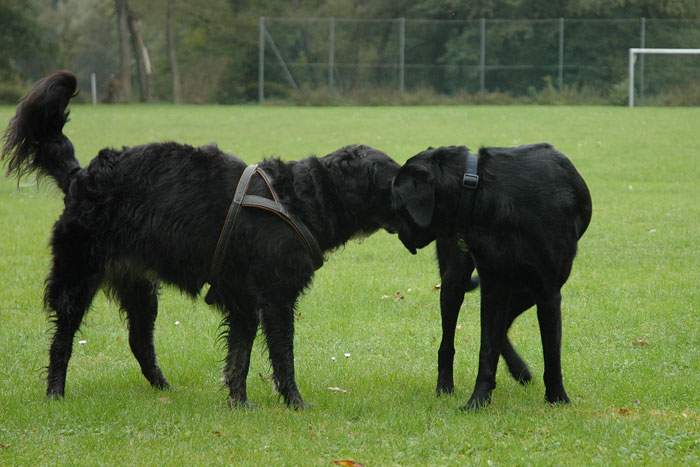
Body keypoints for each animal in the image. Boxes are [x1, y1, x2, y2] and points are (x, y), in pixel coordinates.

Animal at [2, 72, 402, 410]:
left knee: (139, 342)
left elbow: (239, 358)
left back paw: (164, 389)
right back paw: (55, 392)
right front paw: (294, 402)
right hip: (77, 277)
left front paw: (239, 403)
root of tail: (80, 176)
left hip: (140, 288)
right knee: (62, 340)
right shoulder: (275, 299)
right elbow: (282, 356)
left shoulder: (244, 302)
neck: (301, 200)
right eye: (398, 177)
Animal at [394, 144, 592, 412]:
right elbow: (487, 348)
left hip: (526, 288)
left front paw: (557, 399)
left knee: (506, 326)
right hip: (456, 281)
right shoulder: (493, 284)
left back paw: (520, 370)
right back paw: (445, 386)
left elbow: (551, 351)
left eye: (398, 204)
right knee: (449, 341)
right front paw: (478, 401)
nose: (398, 234)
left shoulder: (547, 289)